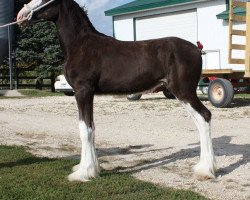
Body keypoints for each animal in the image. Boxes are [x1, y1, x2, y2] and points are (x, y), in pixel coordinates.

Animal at [17, 0, 217, 181]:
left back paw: (206, 170)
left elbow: (84, 129)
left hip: (184, 91)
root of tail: (196, 49)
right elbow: (91, 127)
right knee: (199, 121)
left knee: (204, 117)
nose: (20, 16)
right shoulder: (88, 94)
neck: (80, 44)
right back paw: (202, 166)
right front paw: (91, 168)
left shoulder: (83, 92)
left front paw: (84, 173)